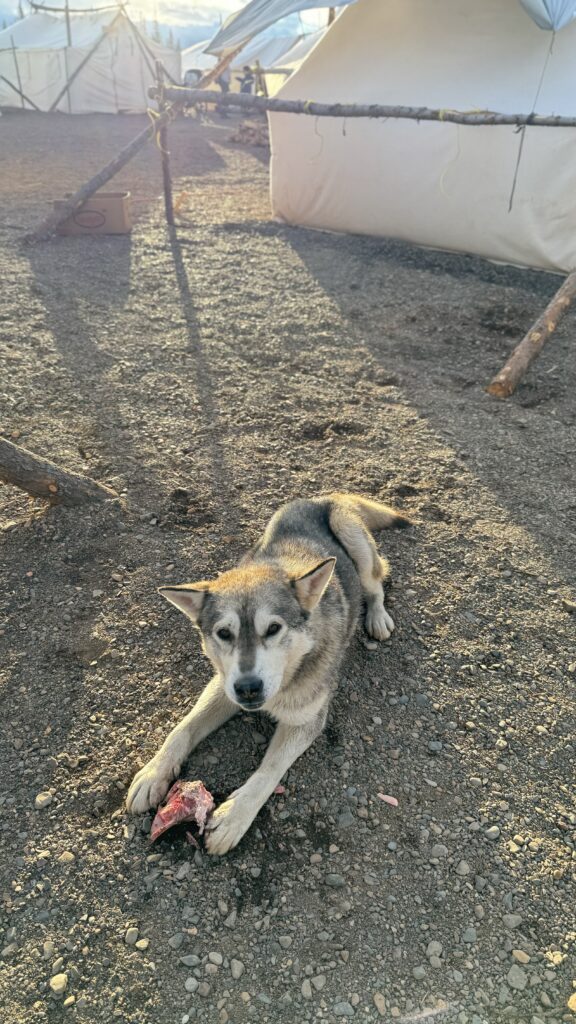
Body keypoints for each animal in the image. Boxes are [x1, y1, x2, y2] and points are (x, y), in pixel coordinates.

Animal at [125, 491, 407, 851]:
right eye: (224, 633)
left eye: (273, 629)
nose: (249, 688)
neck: (290, 672)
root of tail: (324, 496)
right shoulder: (222, 686)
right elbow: (182, 728)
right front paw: (153, 772)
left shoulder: (306, 720)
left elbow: (269, 769)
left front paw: (234, 816)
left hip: (353, 539)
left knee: (376, 583)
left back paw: (377, 616)